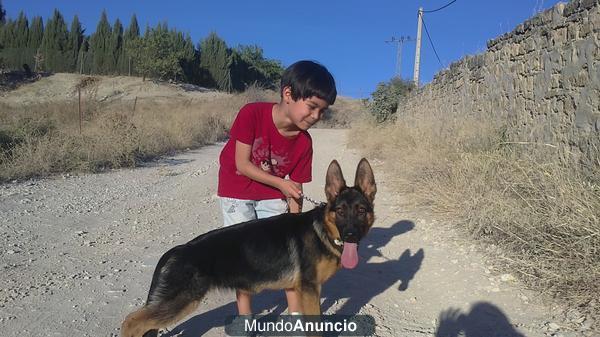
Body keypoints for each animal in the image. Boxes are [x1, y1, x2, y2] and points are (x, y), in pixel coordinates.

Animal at [119, 158, 378, 336]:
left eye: (361, 211)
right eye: (341, 211)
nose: (351, 235)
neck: (322, 230)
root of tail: (177, 250)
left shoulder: (303, 291)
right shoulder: (310, 290)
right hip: (181, 301)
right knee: (131, 321)